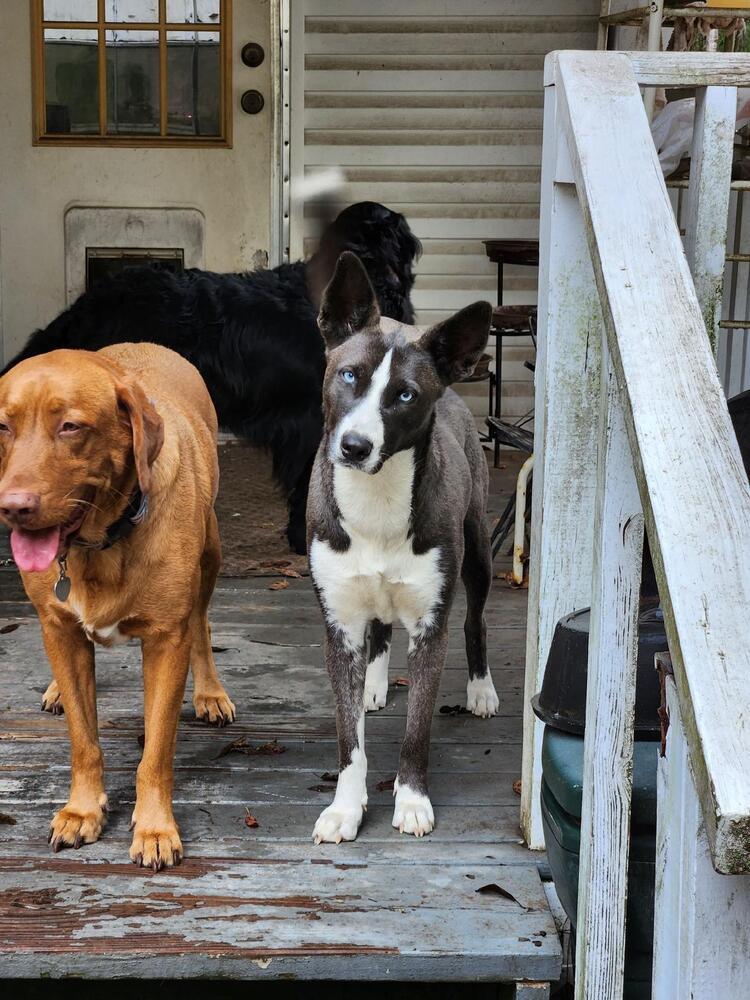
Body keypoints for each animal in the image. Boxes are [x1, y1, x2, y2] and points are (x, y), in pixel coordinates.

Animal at [0, 344, 235, 868]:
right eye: (3, 427)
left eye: (71, 427)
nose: (13, 507)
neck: (99, 544)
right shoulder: (59, 630)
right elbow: (83, 741)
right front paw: (81, 811)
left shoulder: (166, 640)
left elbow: (157, 752)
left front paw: (154, 828)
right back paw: (57, 690)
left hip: (211, 551)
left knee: (203, 622)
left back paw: (210, 692)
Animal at [308, 252, 502, 844]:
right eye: (349, 375)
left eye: (405, 395)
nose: (354, 446)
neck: (376, 499)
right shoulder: (340, 626)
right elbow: (349, 740)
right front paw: (345, 808)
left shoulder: (430, 628)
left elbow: (418, 728)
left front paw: (411, 799)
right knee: (379, 631)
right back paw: (374, 684)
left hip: (478, 552)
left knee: (476, 620)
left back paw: (481, 691)